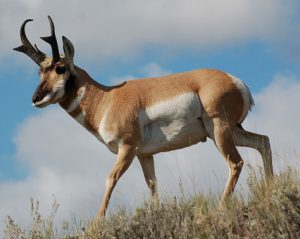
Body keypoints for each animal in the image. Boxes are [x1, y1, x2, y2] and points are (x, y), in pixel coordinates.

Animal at [14, 15, 272, 219]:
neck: (108, 98)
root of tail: (236, 82)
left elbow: (110, 179)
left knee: (236, 163)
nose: (36, 98)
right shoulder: (145, 155)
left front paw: (96, 223)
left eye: (60, 68)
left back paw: (221, 208)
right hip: (230, 132)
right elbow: (153, 186)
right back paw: (271, 190)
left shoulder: (127, 148)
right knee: (263, 141)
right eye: (40, 71)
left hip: (220, 131)